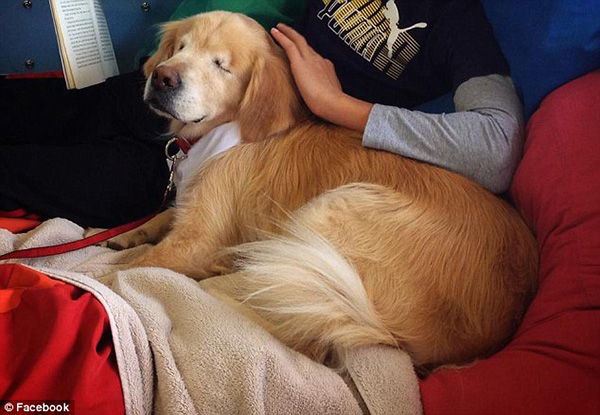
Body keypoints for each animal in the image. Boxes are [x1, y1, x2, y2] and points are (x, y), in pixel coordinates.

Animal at [115, 12, 536, 370]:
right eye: (180, 48)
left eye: (221, 65)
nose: (163, 77)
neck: (224, 130)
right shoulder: (190, 209)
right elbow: (162, 216)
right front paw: (125, 235)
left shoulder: (198, 240)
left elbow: (131, 269)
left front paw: (113, 270)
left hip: (335, 211)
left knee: (303, 332)